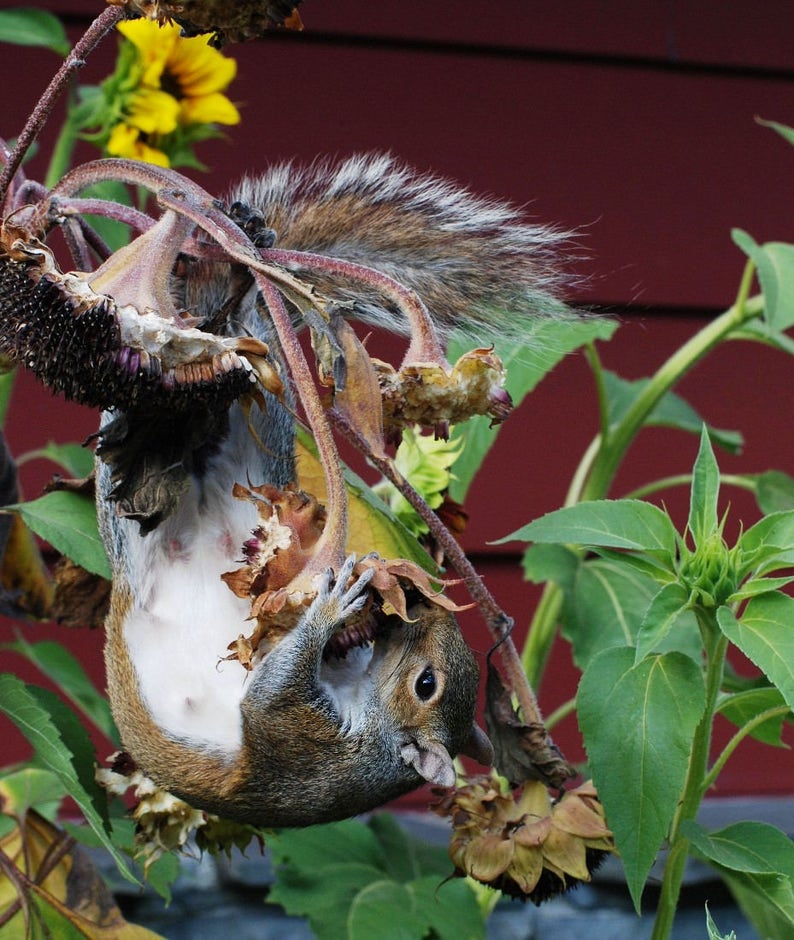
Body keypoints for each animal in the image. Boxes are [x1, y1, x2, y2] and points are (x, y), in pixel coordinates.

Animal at [94, 153, 569, 828]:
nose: (416, 607)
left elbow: (268, 698)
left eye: (426, 685)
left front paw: (327, 608)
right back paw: (240, 263)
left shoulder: (305, 746)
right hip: (260, 431)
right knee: (250, 349)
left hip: (140, 511)